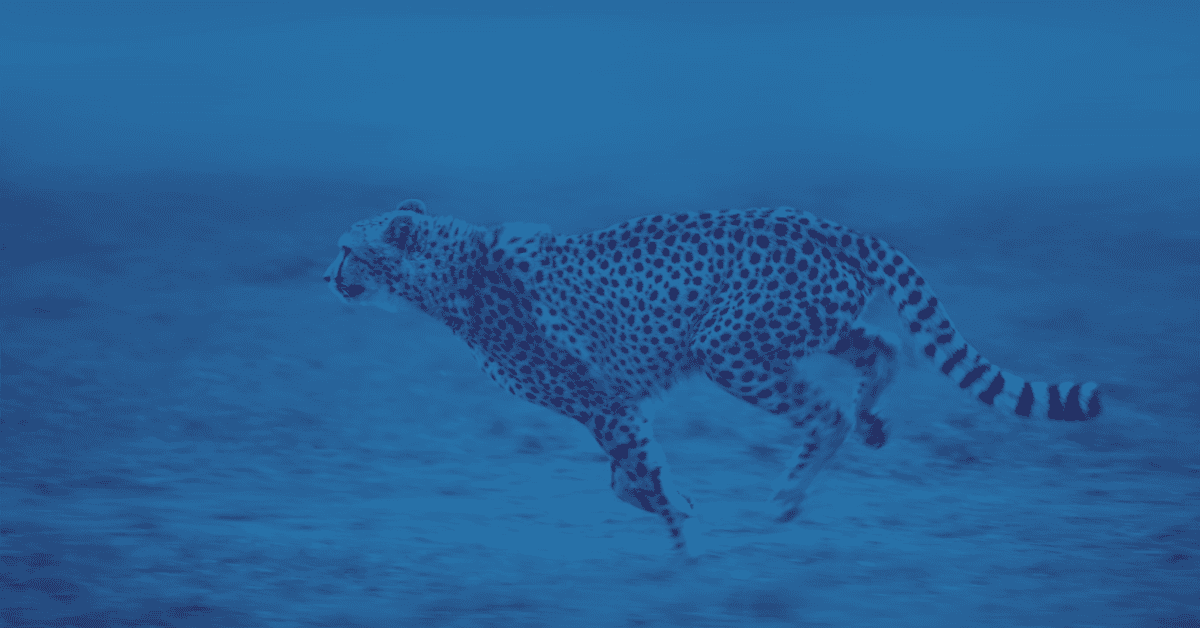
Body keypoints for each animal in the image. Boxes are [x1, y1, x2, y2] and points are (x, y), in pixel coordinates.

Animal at [324, 199, 1102, 553]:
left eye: (347, 250)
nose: (327, 276)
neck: (451, 270)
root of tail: (813, 220)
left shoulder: (605, 403)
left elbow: (638, 474)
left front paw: (683, 549)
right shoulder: (614, 404)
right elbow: (625, 479)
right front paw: (681, 514)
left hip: (730, 346)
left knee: (827, 411)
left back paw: (789, 495)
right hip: (798, 325)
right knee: (882, 347)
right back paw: (873, 421)